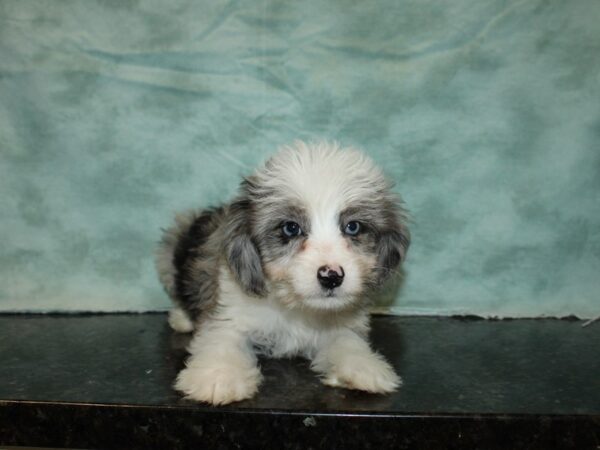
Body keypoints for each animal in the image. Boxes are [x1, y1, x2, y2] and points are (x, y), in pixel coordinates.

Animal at [155, 141, 410, 404]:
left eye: (353, 227)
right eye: (290, 228)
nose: (331, 276)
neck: (293, 306)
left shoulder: (340, 324)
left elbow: (347, 340)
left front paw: (364, 366)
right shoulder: (229, 311)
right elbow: (223, 337)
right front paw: (219, 376)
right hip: (170, 248)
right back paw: (181, 318)